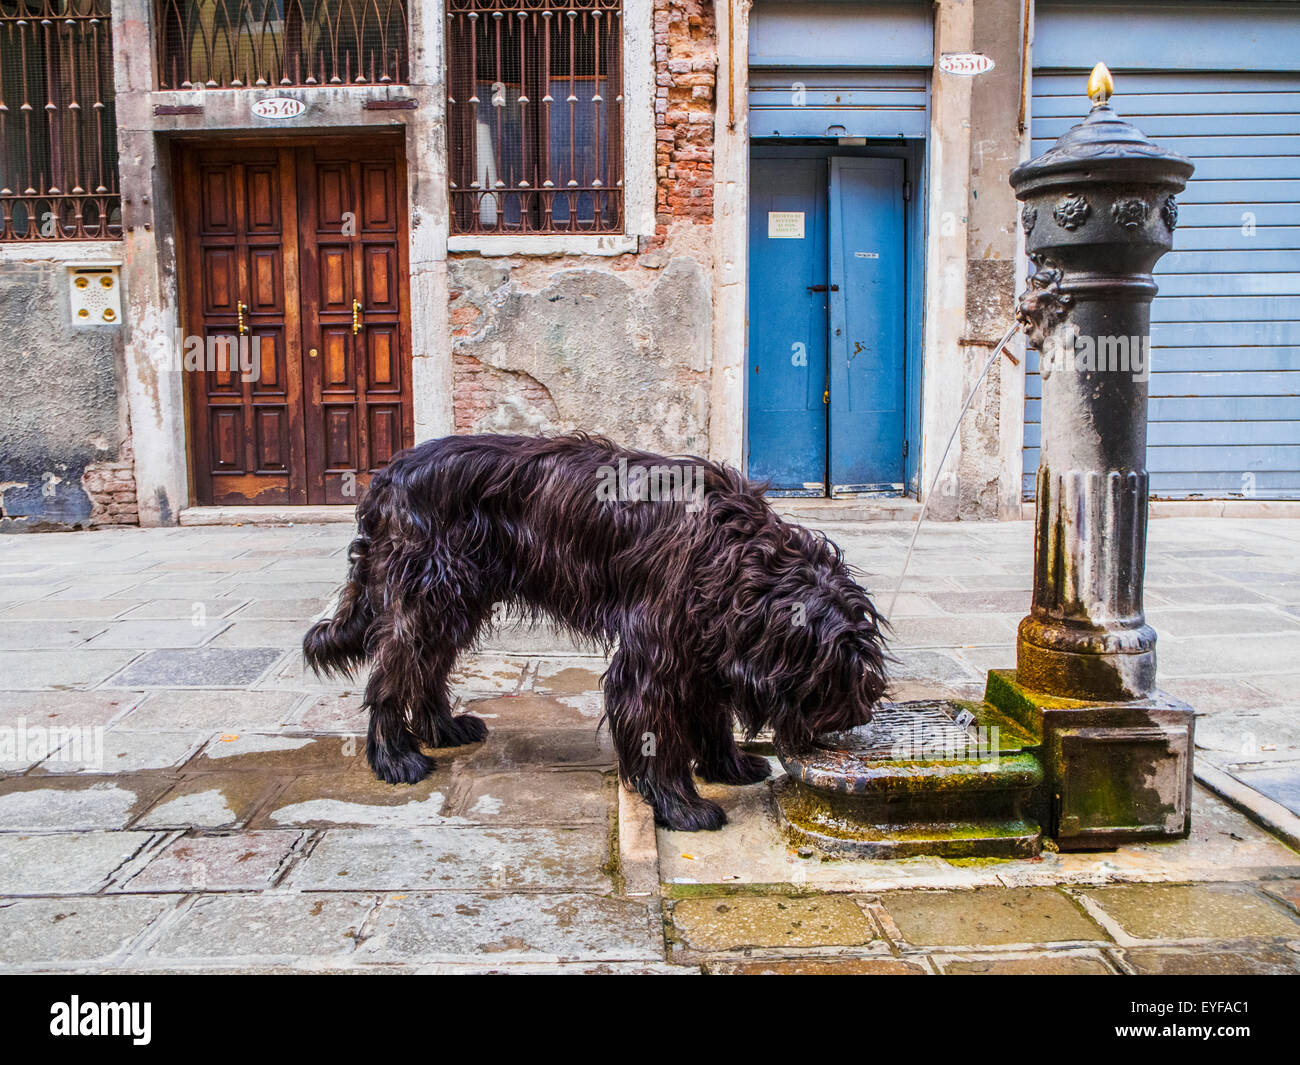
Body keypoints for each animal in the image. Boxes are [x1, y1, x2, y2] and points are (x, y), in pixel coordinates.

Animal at [309, 434, 889, 832]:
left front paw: (728, 766)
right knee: (393, 668)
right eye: (833, 674)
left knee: (428, 664)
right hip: (427, 593)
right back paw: (396, 758)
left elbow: (711, 714)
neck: (739, 557)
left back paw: (442, 728)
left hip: (457, 599)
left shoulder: (702, 643)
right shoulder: (655, 652)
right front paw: (684, 807)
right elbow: (657, 730)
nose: (857, 718)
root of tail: (389, 473)